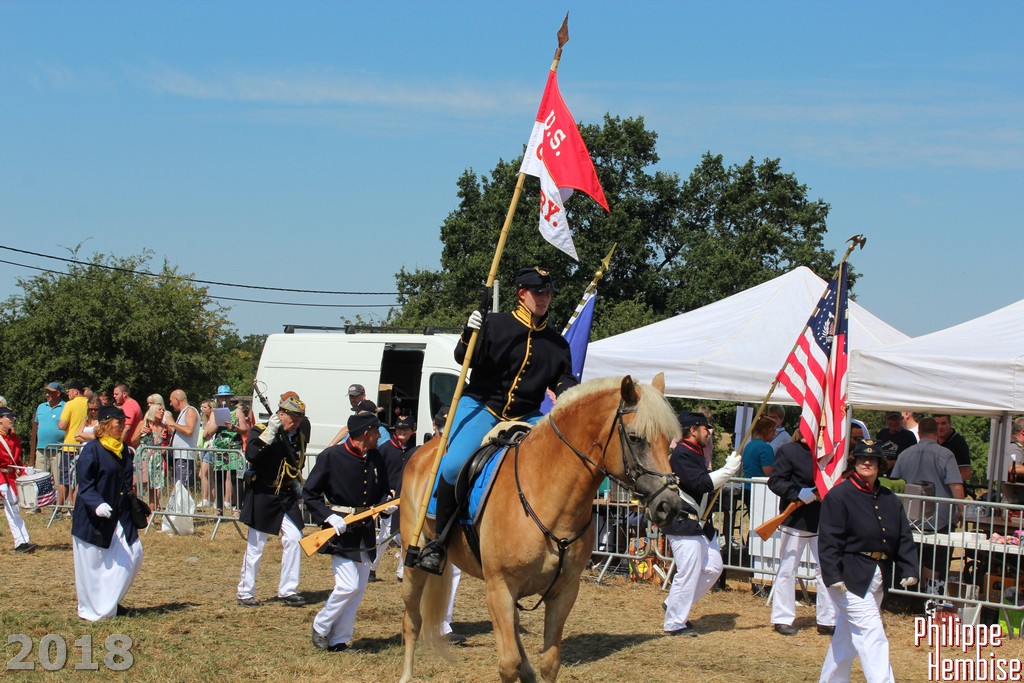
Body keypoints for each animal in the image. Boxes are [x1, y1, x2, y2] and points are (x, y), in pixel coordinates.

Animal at [399, 373, 684, 683]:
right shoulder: (500, 588)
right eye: (635, 438)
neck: (547, 496)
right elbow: (508, 663)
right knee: (412, 621)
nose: (669, 505)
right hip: (414, 565)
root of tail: (422, 451)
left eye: (667, 440)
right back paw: (407, 674)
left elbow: (549, 662)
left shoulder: (564, 592)